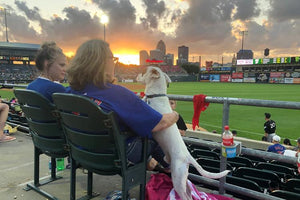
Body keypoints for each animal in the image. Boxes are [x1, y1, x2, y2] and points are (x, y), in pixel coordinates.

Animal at [137, 66, 231, 199]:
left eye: (146, 71)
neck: (156, 96)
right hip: (183, 179)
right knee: (189, 195)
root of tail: (188, 156)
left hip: (177, 178)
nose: (139, 71)